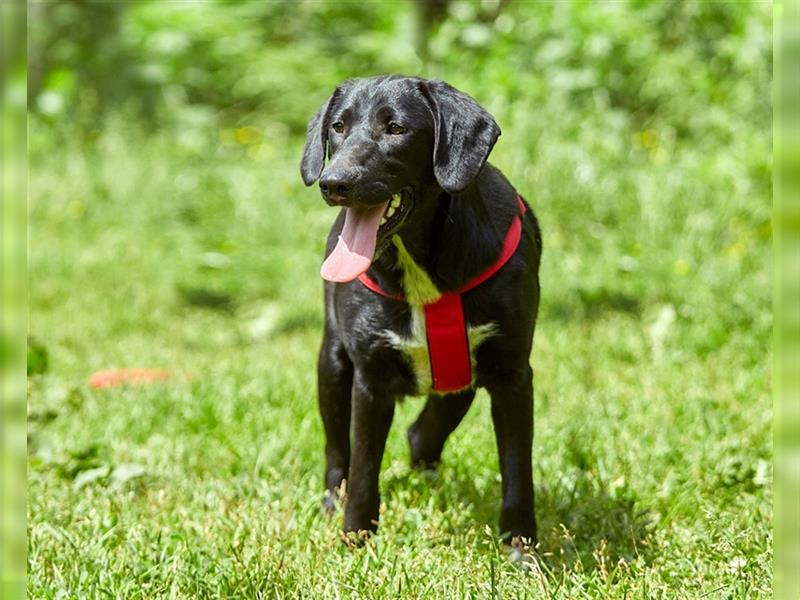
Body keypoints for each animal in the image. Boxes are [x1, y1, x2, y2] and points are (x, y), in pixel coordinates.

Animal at [302, 75, 544, 544]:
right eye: (338, 127)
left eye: (395, 129)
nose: (333, 182)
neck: (419, 269)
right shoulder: (370, 379)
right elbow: (364, 467)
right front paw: (356, 539)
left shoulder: (512, 374)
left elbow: (517, 470)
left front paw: (521, 547)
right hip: (332, 363)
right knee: (338, 451)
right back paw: (332, 501)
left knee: (426, 428)